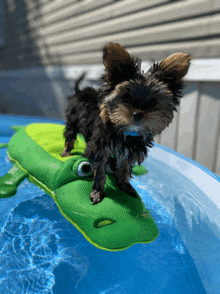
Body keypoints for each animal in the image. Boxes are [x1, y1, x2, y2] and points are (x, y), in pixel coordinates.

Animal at [61, 42, 191, 204]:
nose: (137, 114)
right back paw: (67, 152)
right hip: (73, 120)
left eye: (153, 101)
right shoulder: (101, 146)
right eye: (126, 98)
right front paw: (97, 191)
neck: (127, 132)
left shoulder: (130, 150)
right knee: (70, 135)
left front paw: (124, 184)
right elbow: (100, 170)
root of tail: (80, 91)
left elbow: (124, 167)